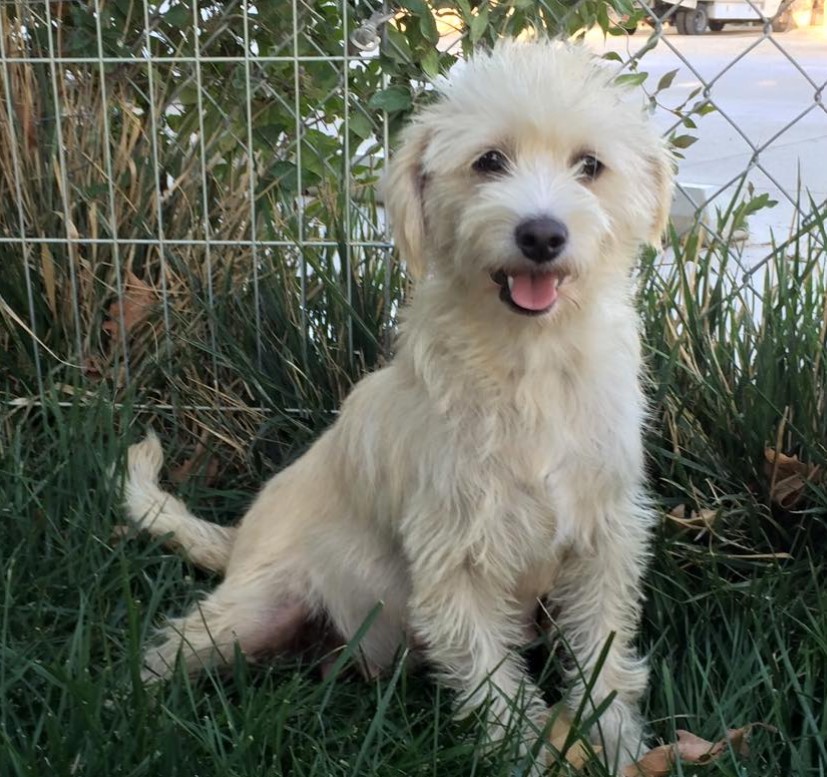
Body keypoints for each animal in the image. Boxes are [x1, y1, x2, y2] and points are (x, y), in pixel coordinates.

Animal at [124, 38, 680, 776]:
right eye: (489, 161)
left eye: (589, 165)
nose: (541, 235)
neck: (528, 364)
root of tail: (239, 538)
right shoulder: (454, 560)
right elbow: (495, 685)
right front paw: (528, 753)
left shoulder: (604, 542)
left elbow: (604, 660)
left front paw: (618, 745)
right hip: (250, 611)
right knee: (169, 647)